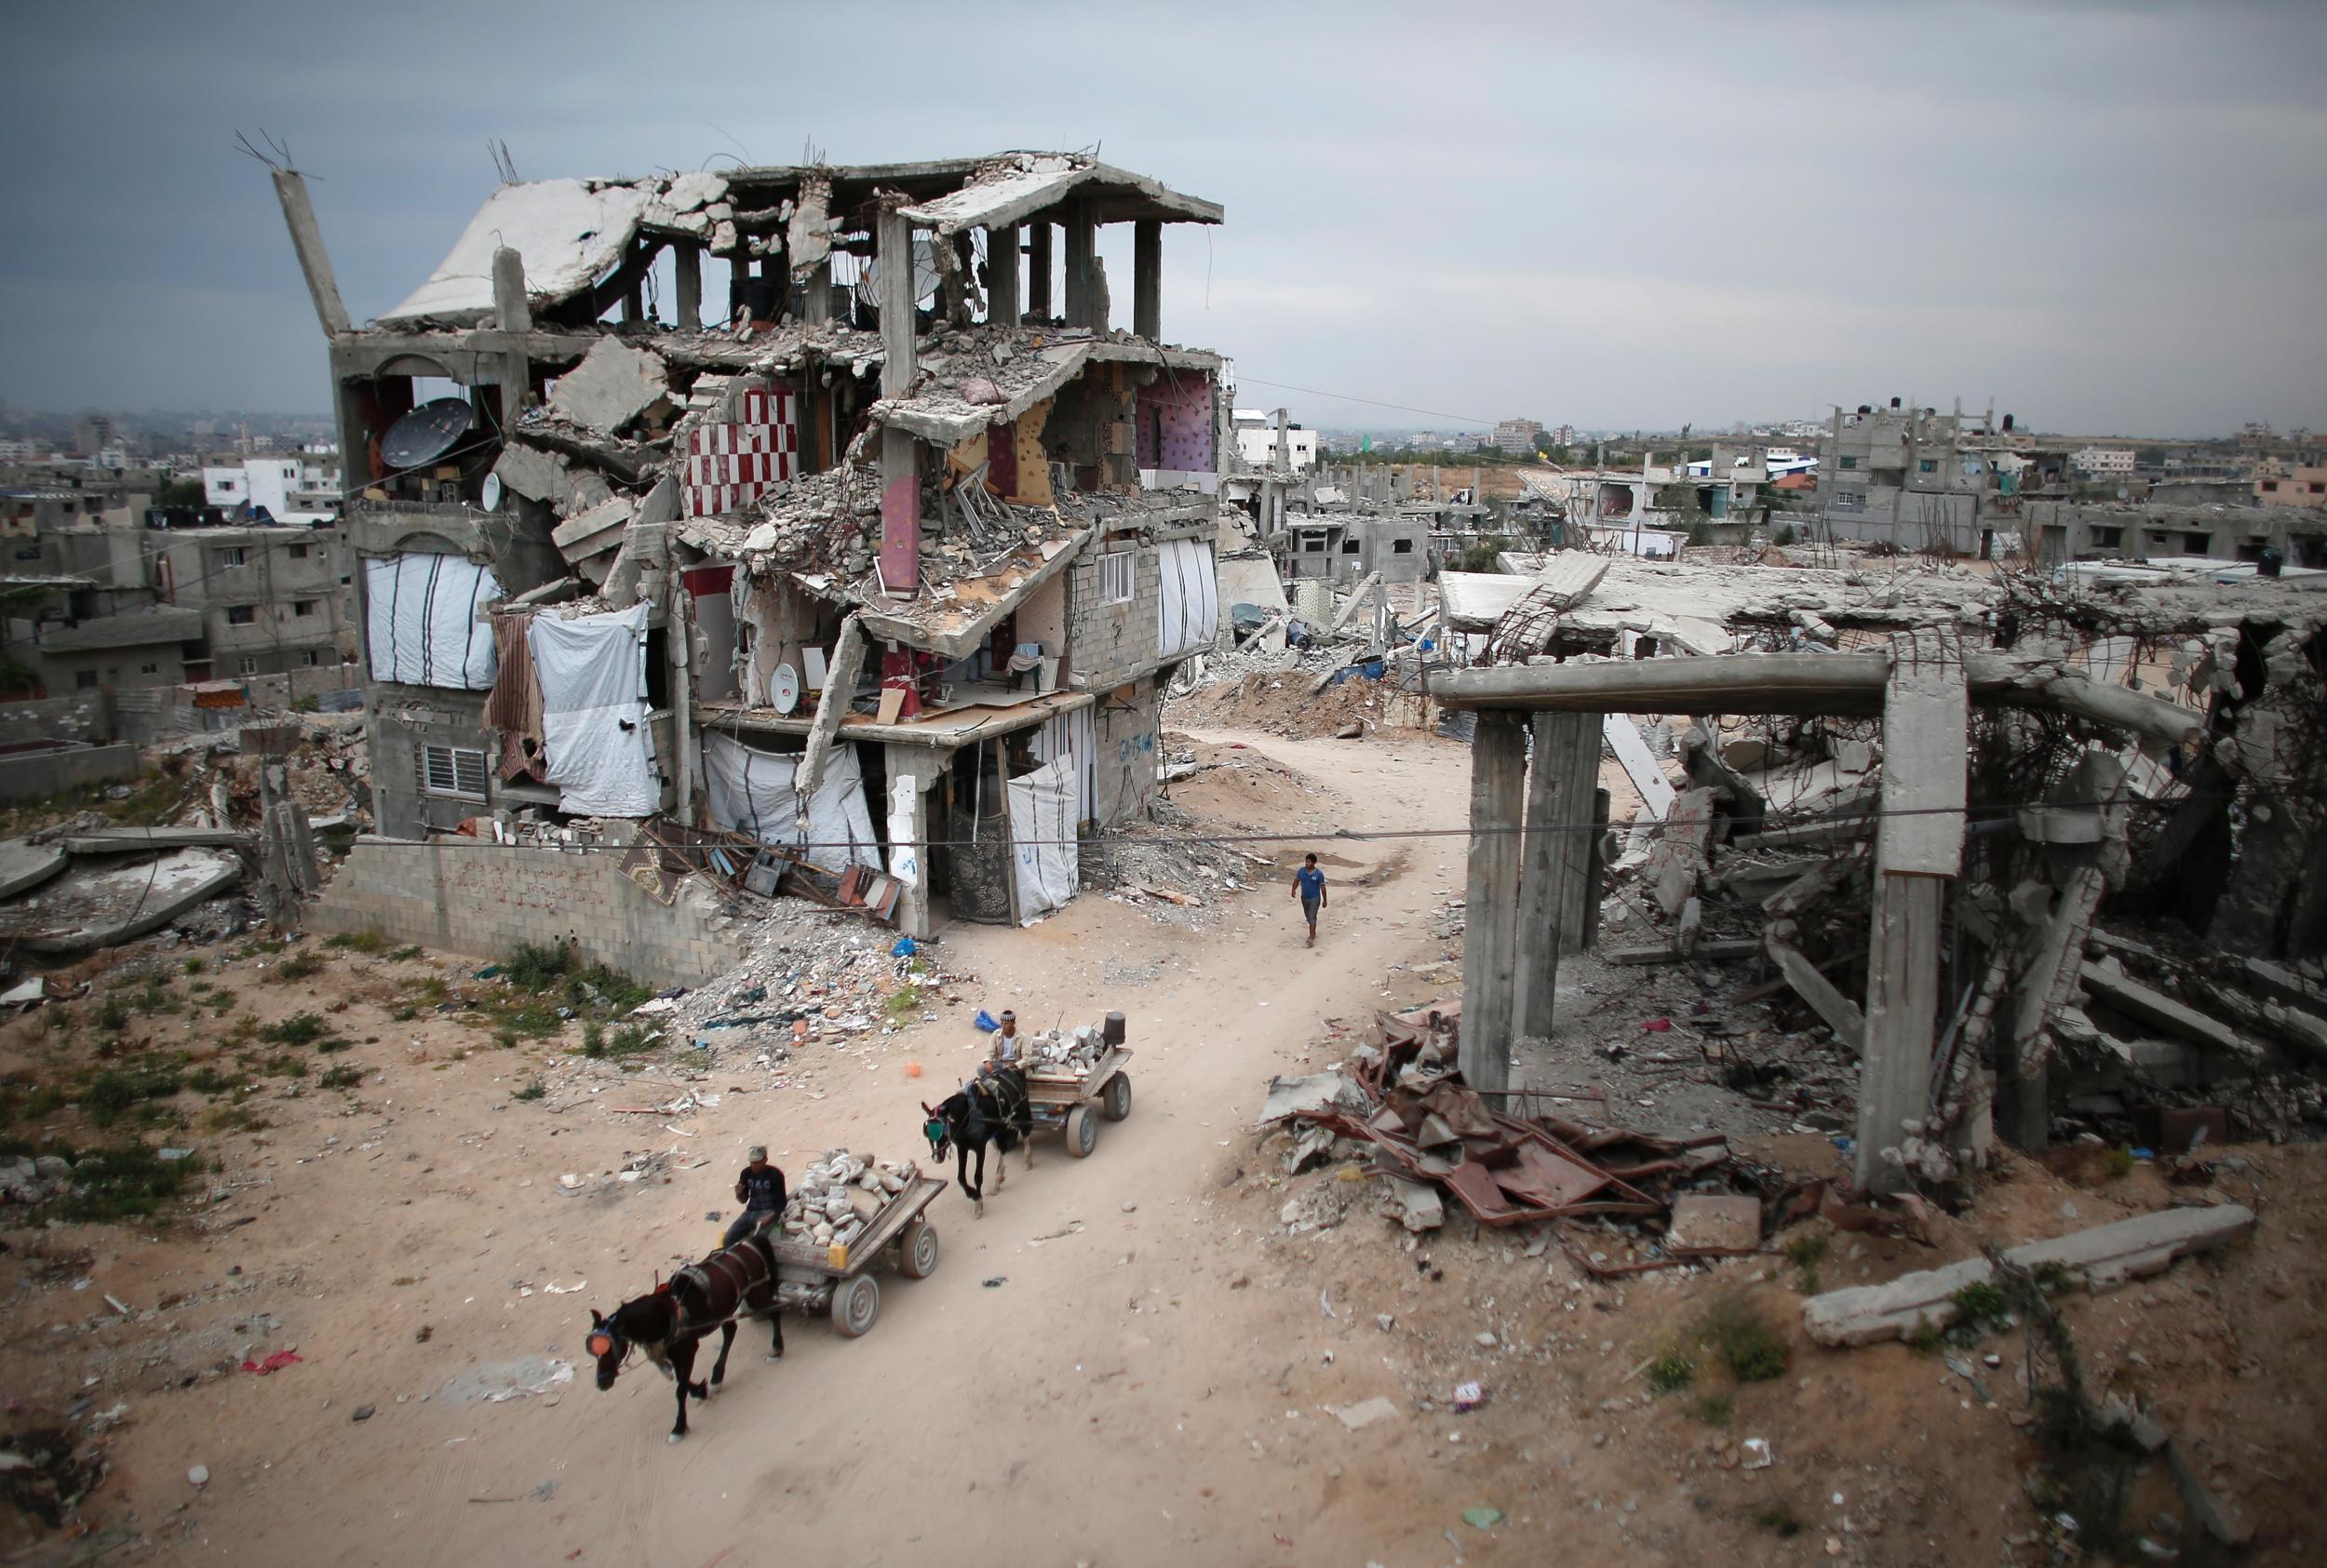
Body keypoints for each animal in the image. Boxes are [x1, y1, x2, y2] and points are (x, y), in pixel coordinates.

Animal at [586, 1228, 787, 1433]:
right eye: (592, 1352)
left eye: (608, 1347)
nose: (601, 1383)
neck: (663, 1314)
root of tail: (748, 1242)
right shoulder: (672, 1353)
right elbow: (680, 1381)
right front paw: (700, 1390)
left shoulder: (688, 1350)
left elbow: (680, 1390)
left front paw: (679, 1426)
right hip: (725, 1308)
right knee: (731, 1330)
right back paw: (717, 1377)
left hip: (756, 1293)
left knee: (774, 1310)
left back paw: (776, 1348)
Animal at [921, 1056, 1033, 1219]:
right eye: (926, 1132)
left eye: (943, 1132)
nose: (937, 1157)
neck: (968, 1115)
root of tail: (1013, 1068)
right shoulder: (962, 1147)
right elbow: (961, 1178)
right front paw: (973, 1195)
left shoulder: (980, 1147)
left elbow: (977, 1176)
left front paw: (978, 1202)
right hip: (1001, 1125)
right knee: (1003, 1147)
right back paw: (998, 1180)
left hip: (1021, 1109)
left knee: (1025, 1132)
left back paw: (1026, 1160)